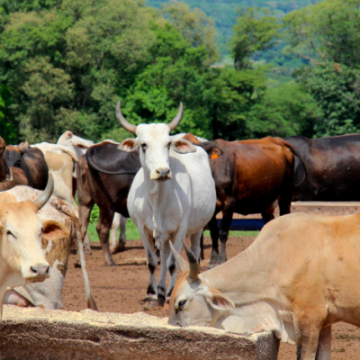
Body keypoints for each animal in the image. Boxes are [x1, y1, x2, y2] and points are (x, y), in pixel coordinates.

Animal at [116, 102, 215, 306]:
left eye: (168, 144)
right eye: (143, 145)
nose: (162, 171)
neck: (157, 198)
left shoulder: (180, 229)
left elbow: (172, 263)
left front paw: (170, 293)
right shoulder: (143, 229)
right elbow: (152, 261)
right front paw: (151, 294)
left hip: (197, 228)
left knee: (194, 253)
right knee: (162, 255)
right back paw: (160, 291)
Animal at [183, 134, 306, 266]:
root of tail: (278, 140)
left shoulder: (229, 202)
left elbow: (223, 232)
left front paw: (221, 259)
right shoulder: (211, 206)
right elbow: (213, 232)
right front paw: (213, 260)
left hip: (285, 196)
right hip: (266, 202)